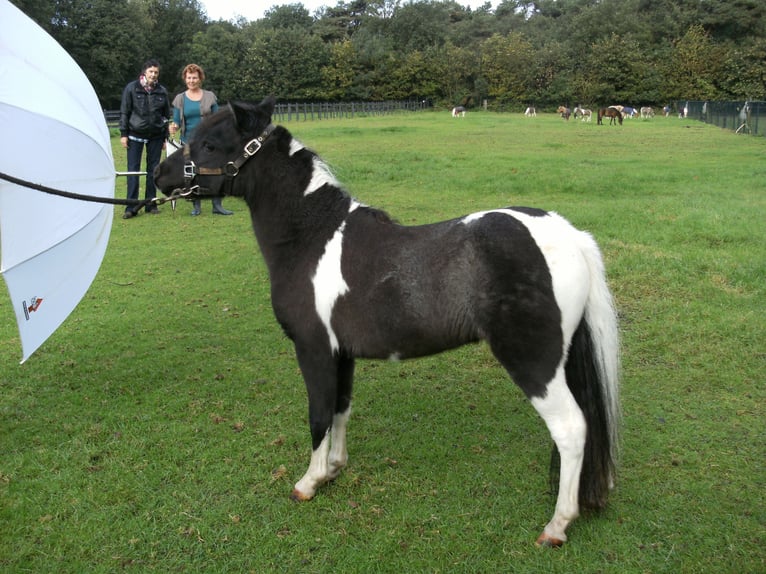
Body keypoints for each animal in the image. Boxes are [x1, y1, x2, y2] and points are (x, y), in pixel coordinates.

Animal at [154, 97, 621, 548]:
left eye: (209, 145)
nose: (159, 174)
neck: (310, 238)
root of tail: (570, 235)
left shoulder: (313, 349)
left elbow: (318, 414)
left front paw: (308, 482)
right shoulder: (341, 354)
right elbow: (341, 407)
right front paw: (334, 469)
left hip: (534, 364)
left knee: (571, 429)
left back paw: (557, 526)